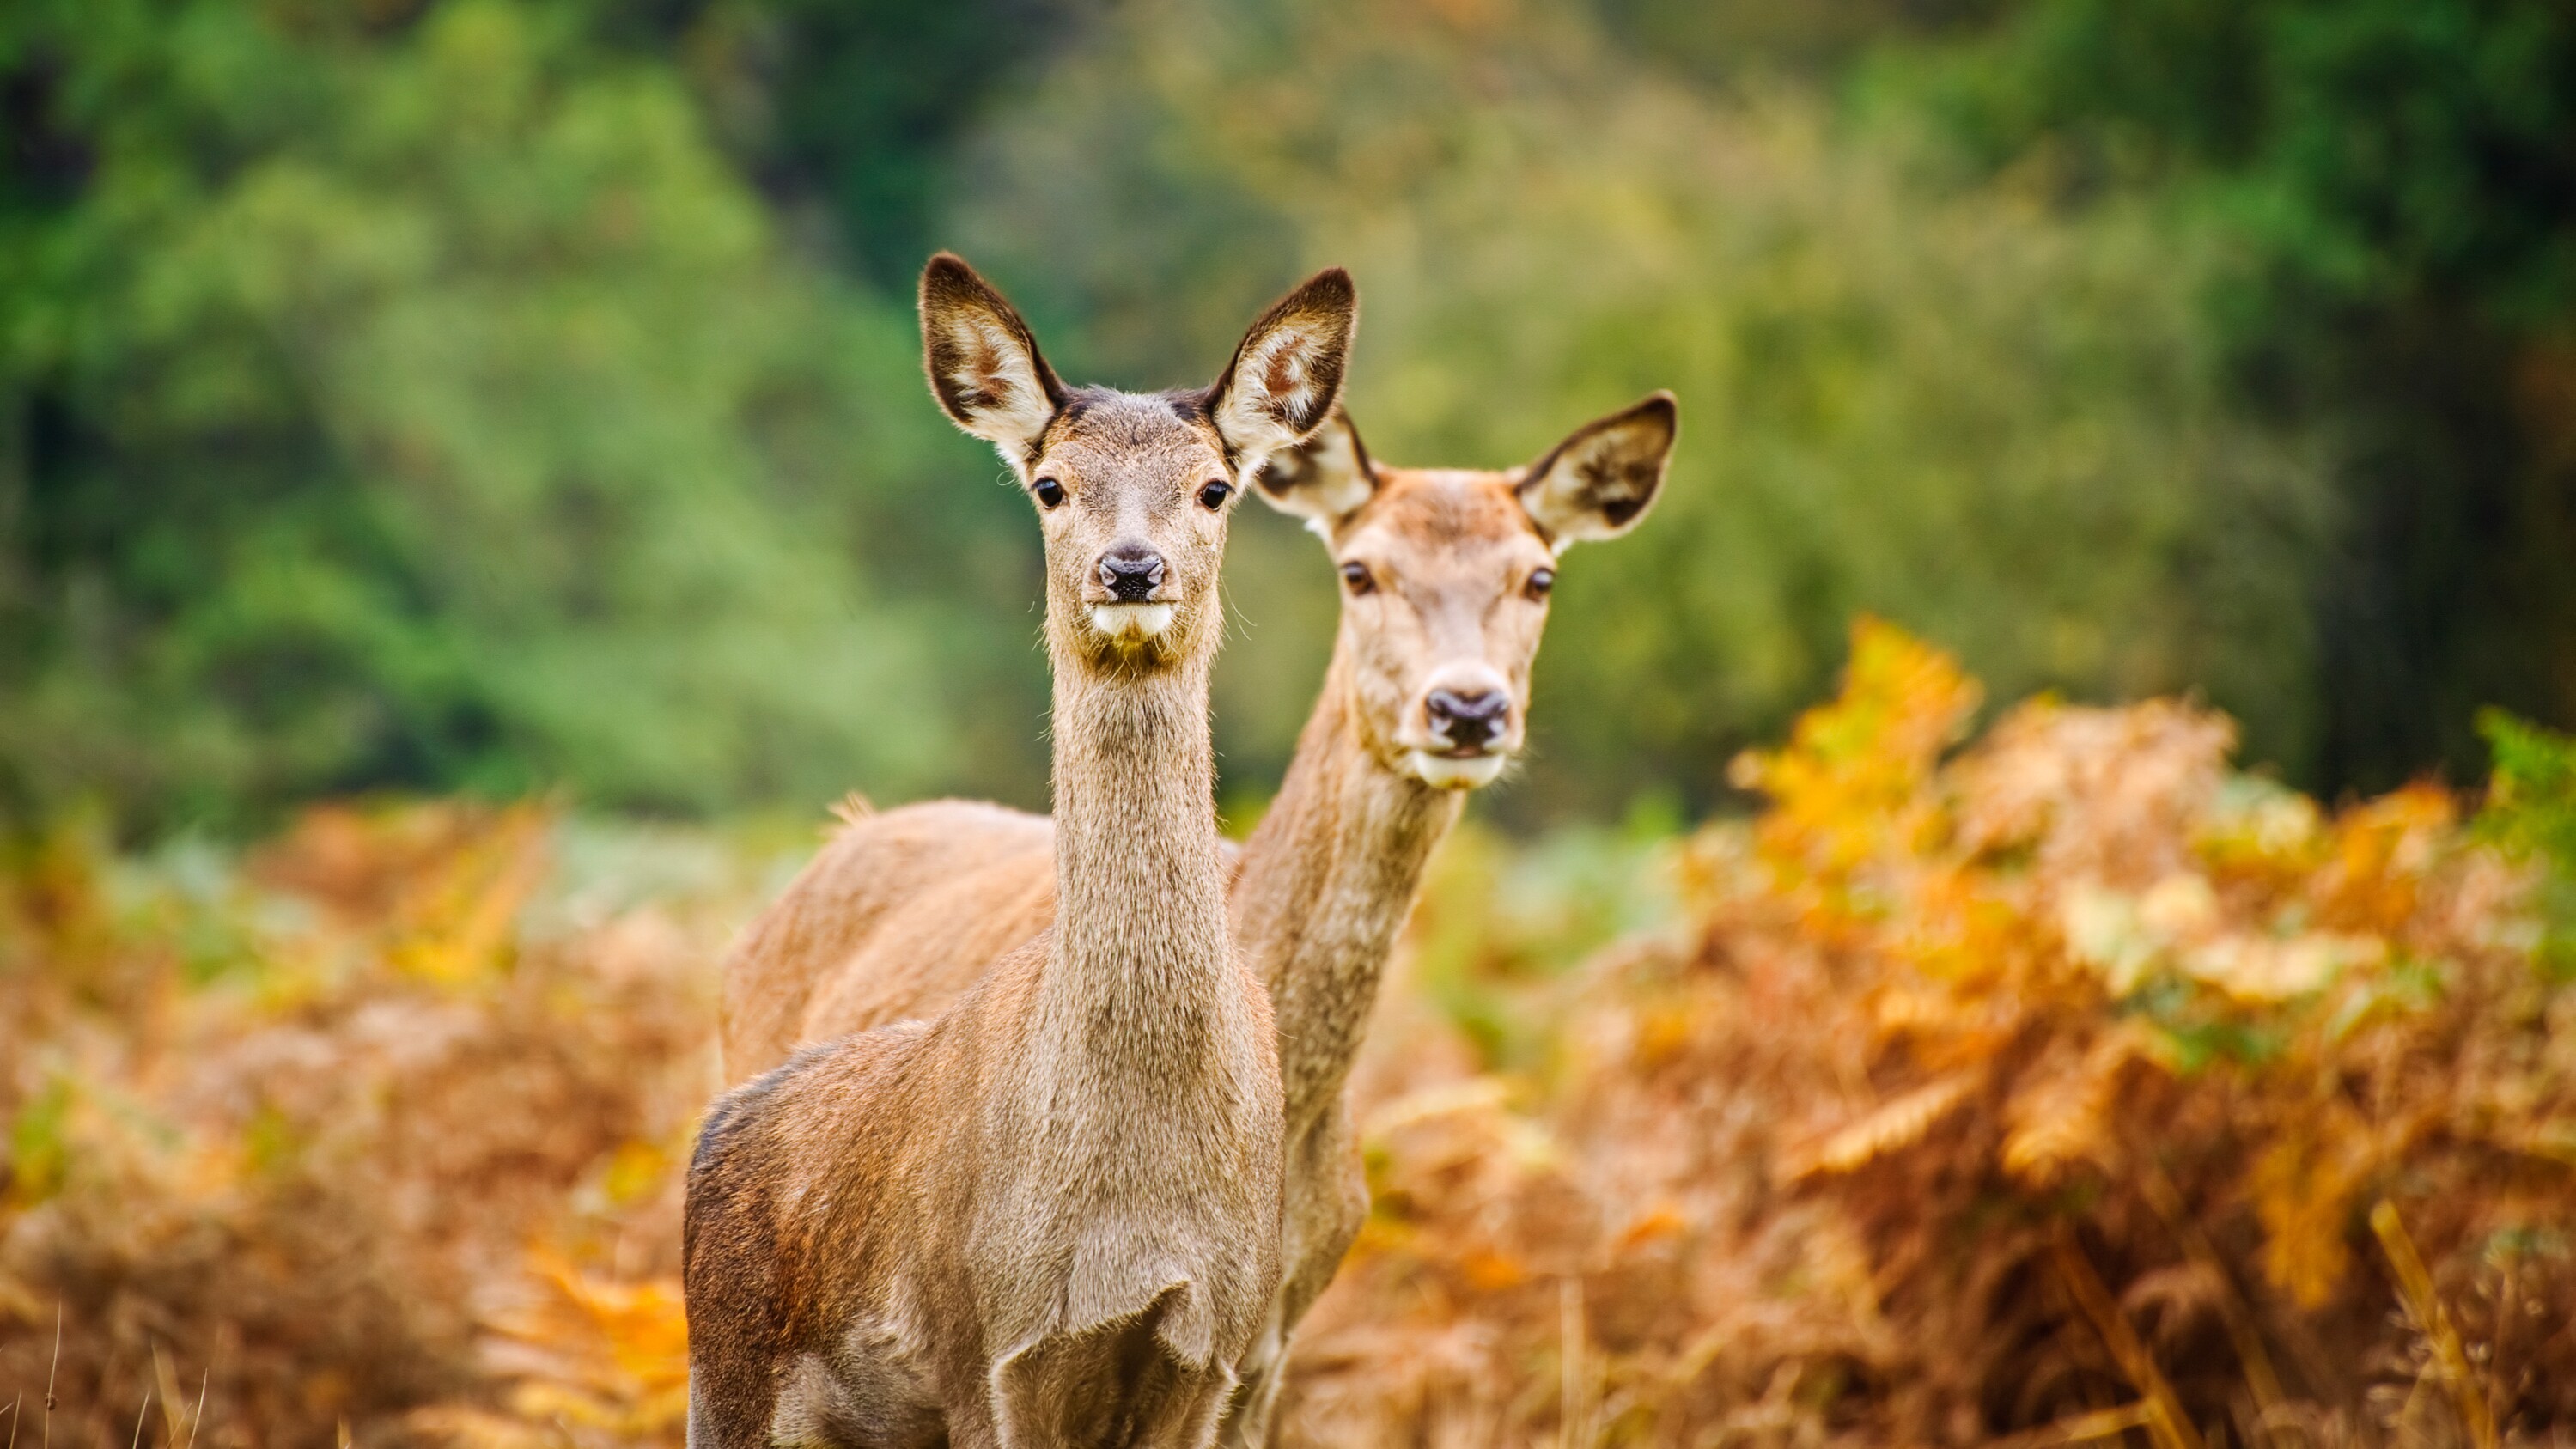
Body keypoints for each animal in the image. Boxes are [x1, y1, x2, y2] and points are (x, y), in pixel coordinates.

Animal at [685, 252, 1370, 1449]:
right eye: (1050, 485)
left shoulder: (1218, 1352)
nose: (1131, 568)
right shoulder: (986, 1348)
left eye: (1214, 487)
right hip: (724, 1383)